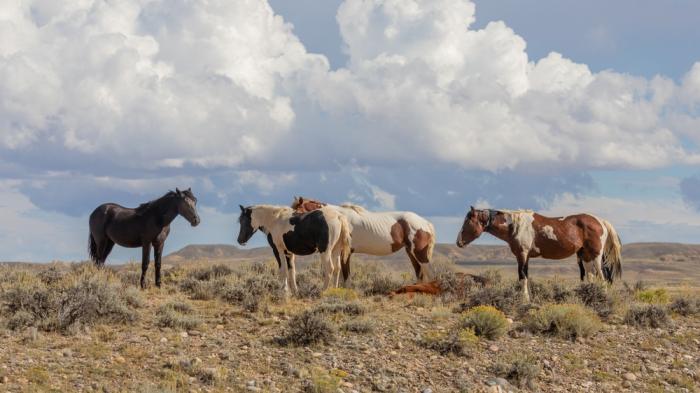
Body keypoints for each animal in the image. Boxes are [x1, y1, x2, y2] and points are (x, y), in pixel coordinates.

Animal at [288, 196, 432, 282]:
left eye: (296, 210)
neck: (339, 217)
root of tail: (425, 223)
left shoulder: (345, 252)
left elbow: (346, 275)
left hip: (419, 253)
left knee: (428, 272)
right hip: (410, 253)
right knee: (419, 273)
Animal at [456, 207, 620, 302]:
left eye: (468, 222)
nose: (459, 242)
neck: (515, 226)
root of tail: (601, 221)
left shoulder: (522, 255)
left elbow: (522, 277)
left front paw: (524, 299)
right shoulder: (525, 257)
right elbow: (526, 277)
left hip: (595, 255)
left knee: (602, 277)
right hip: (585, 256)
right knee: (590, 275)